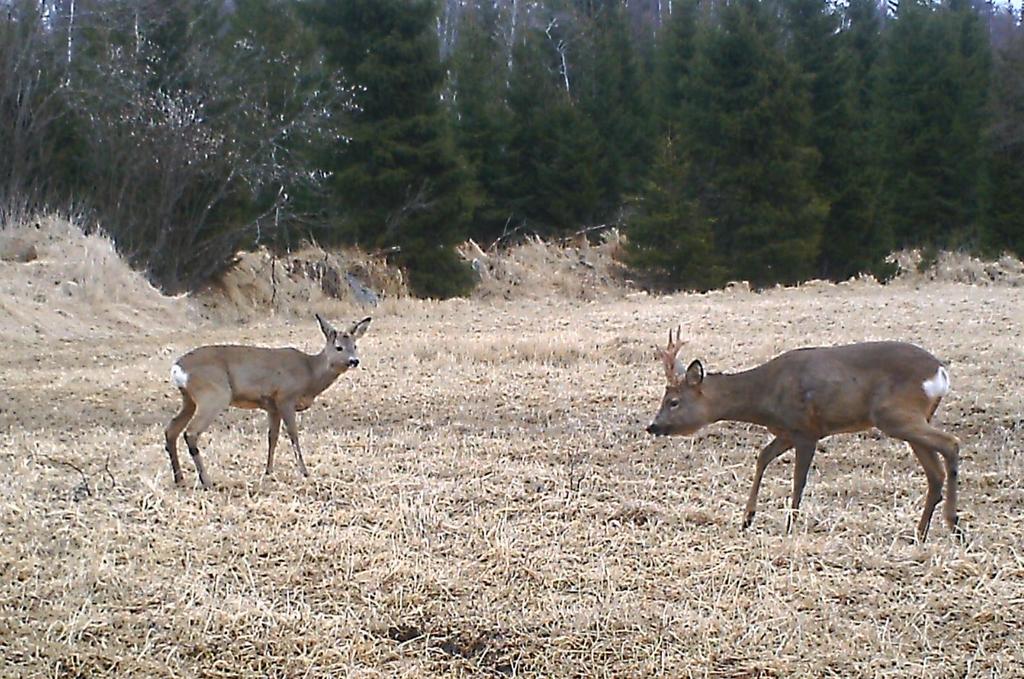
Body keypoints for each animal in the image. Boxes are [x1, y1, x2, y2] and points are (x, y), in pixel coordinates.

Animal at [159, 313, 368, 489]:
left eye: (355, 346)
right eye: (339, 347)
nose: (354, 361)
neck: (310, 374)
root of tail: (177, 368)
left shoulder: (272, 406)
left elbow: (272, 437)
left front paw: (268, 471)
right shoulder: (285, 398)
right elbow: (293, 434)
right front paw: (304, 472)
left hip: (189, 399)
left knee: (171, 430)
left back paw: (179, 479)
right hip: (214, 394)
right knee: (191, 432)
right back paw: (207, 482)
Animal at [647, 329, 958, 540]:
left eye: (673, 401)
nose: (653, 426)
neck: (764, 395)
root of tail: (940, 373)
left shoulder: (807, 430)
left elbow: (799, 480)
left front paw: (790, 524)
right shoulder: (786, 432)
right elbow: (762, 458)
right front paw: (747, 518)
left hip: (894, 414)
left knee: (951, 444)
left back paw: (952, 523)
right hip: (913, 418)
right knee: (935, 472)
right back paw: (921, 532)